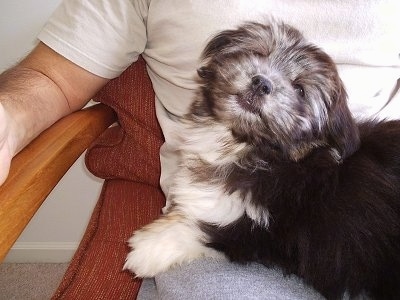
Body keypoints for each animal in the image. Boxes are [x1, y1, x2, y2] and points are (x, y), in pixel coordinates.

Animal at [124, 19, 400, 298]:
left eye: (300, 89)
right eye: (258, 53)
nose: (261, 83)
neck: (245, 146)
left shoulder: (269, 233)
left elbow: (208, 230)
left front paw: (148, 247)